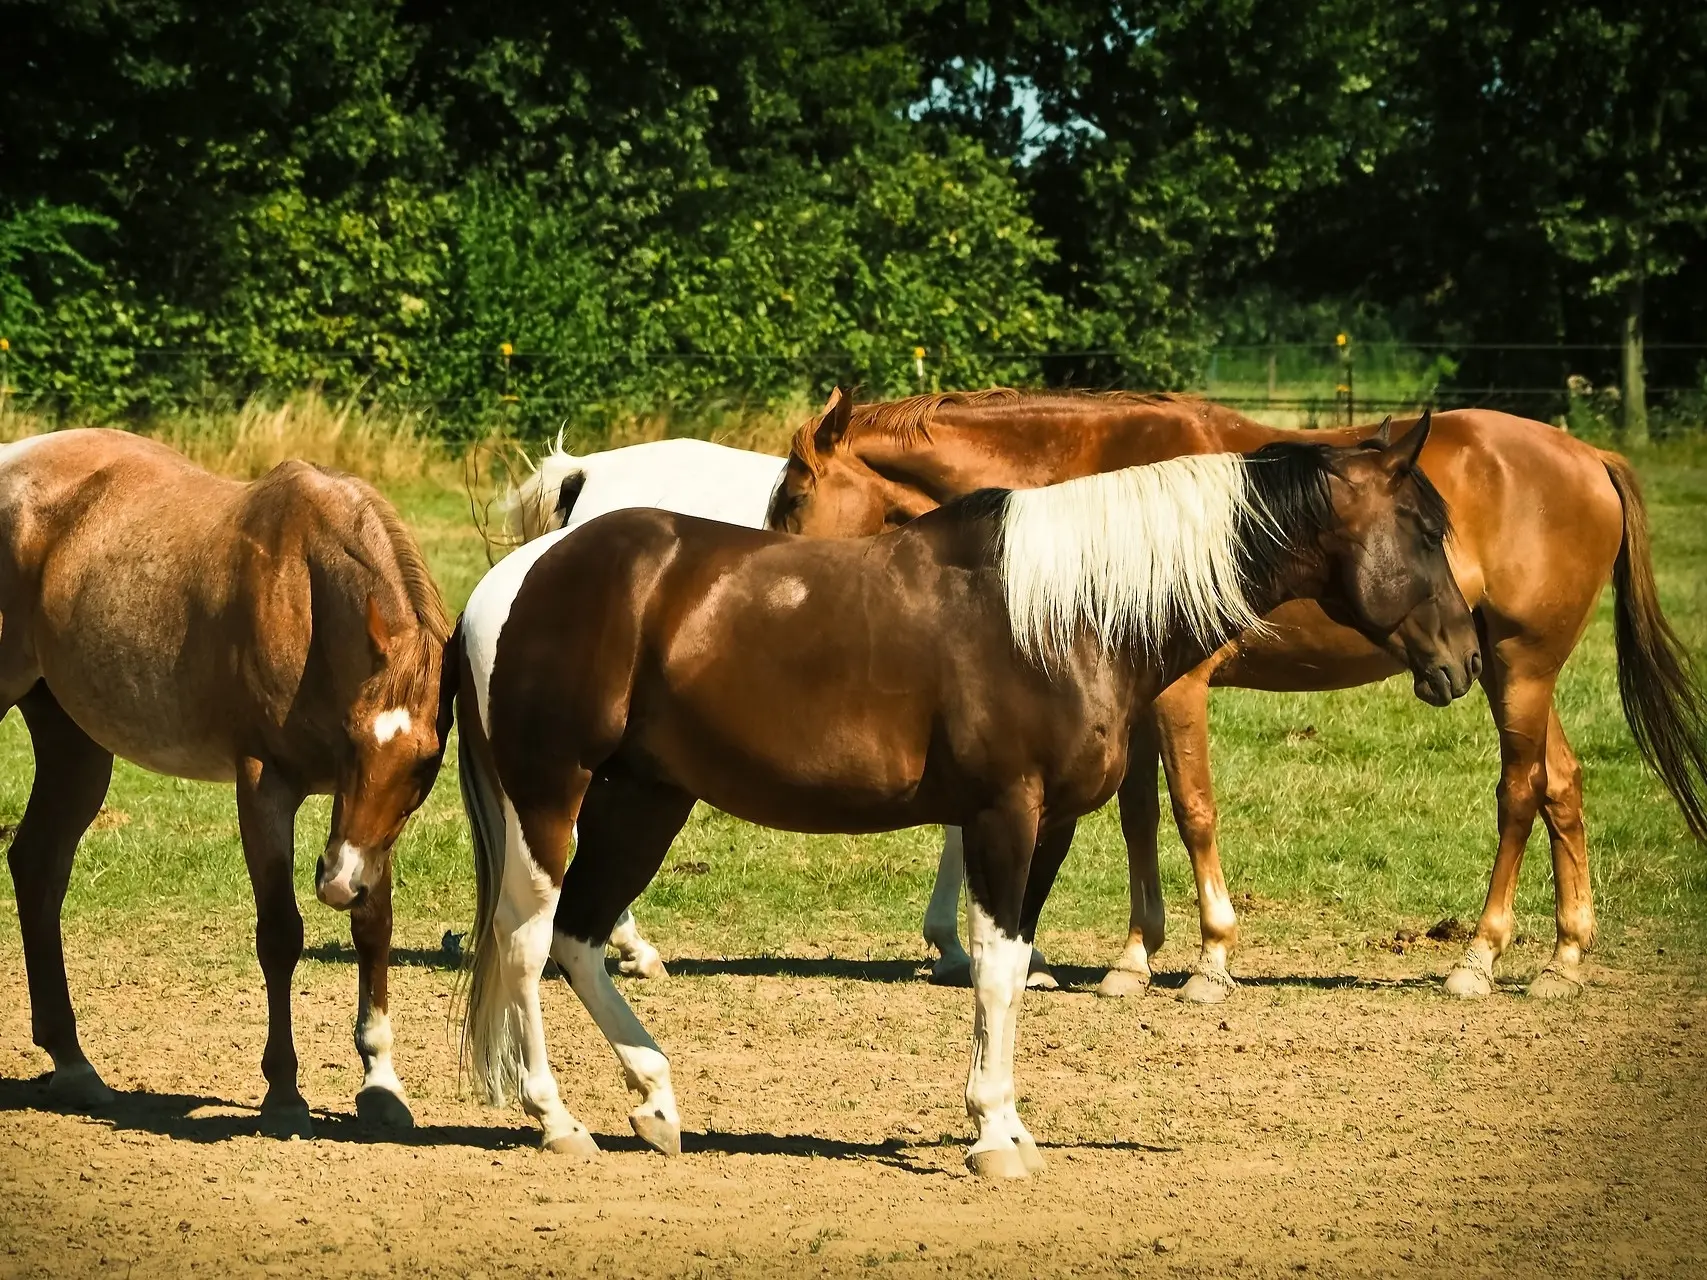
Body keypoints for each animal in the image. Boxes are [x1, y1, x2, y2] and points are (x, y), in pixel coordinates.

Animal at [0, 433, 454, 1140]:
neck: (305, 596)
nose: (337, 884)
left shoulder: (363, 828)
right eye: (356, 739)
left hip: (75, 748)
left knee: (38, 867)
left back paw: (74, 1064)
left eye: (425, 761)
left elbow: (374, 924)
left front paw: (381, 1083)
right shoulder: (265, 784)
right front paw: (284, 1092)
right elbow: (281, 934)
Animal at [771, 389, 1707, 1003]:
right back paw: (1563, 959)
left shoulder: (1178, 691)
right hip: (1510, 672)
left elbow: (1191, 812)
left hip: (1516, 667)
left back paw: (1477, 958)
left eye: (792, 498)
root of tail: (1586, 456)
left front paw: (1211, 959)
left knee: (1519, 791)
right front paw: (1132, 959)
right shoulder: (1133, 694)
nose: (775, 576)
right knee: (1562, 786)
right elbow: (1139, 818)